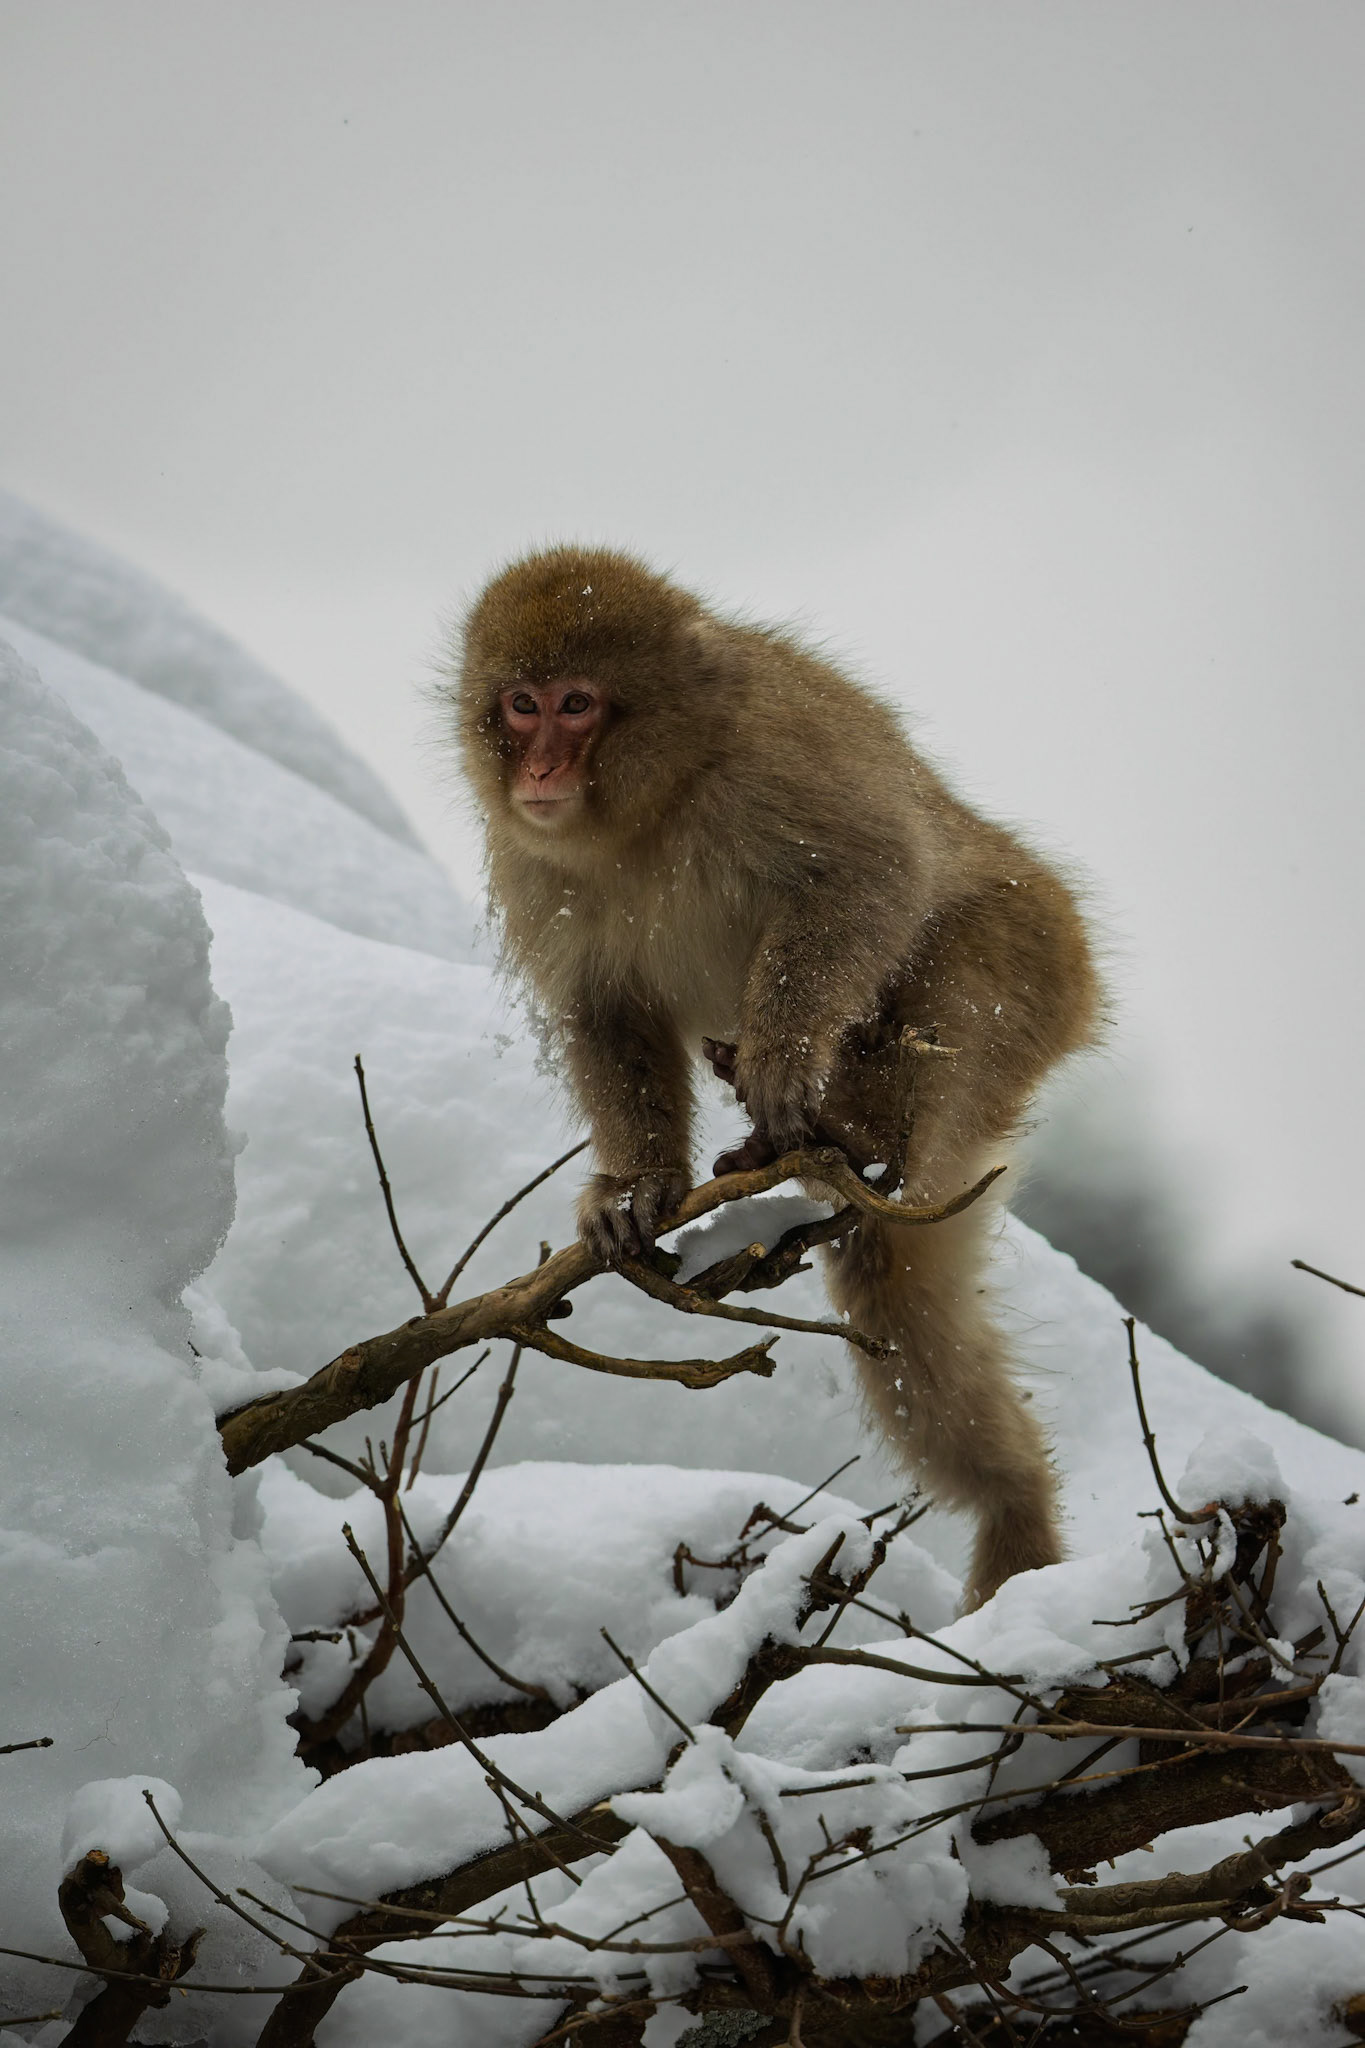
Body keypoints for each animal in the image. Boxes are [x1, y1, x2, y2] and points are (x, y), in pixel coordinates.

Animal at [448, 546, 1101, 1608]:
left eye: (577, 704)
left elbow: (870, 871)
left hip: (1029, 966)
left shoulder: (769, 764)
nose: (540, 768)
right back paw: (1009, 1497)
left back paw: (851, 1133)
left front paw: (780, 1057)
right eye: (519, 703)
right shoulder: (533, 859)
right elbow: (605, 1012)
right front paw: (634, 1185)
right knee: (895, 1288)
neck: (651, 806)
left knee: (939, 989)